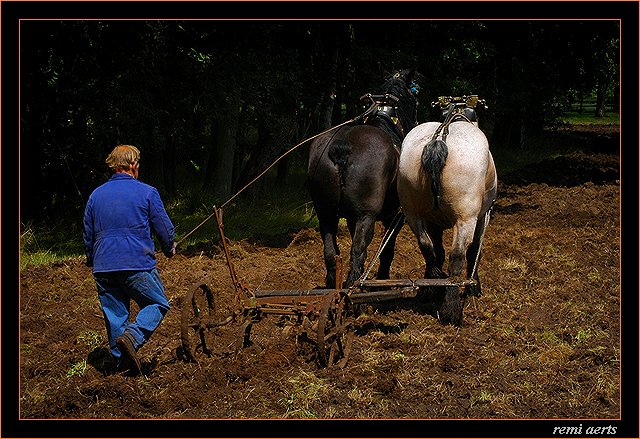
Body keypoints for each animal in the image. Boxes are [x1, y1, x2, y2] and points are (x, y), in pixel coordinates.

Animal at [308, 69, 422, 288]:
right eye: (415, 92)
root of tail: (342, 145)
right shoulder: (394, 216)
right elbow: (387, 250)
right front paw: (383, 276)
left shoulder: (351, 217)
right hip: (366, 216)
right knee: (358, 251)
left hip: (325, 213)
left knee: (330, 252)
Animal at [398, 118, 498, 324]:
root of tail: (439, 139)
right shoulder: (482, 217)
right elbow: (474, 252)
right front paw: (474, 286)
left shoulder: (433, 223)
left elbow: (437, 252)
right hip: (465, 219)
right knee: (457, 256)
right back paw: (451, 308)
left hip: (413, 214)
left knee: (426, 247)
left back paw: (433, 287)